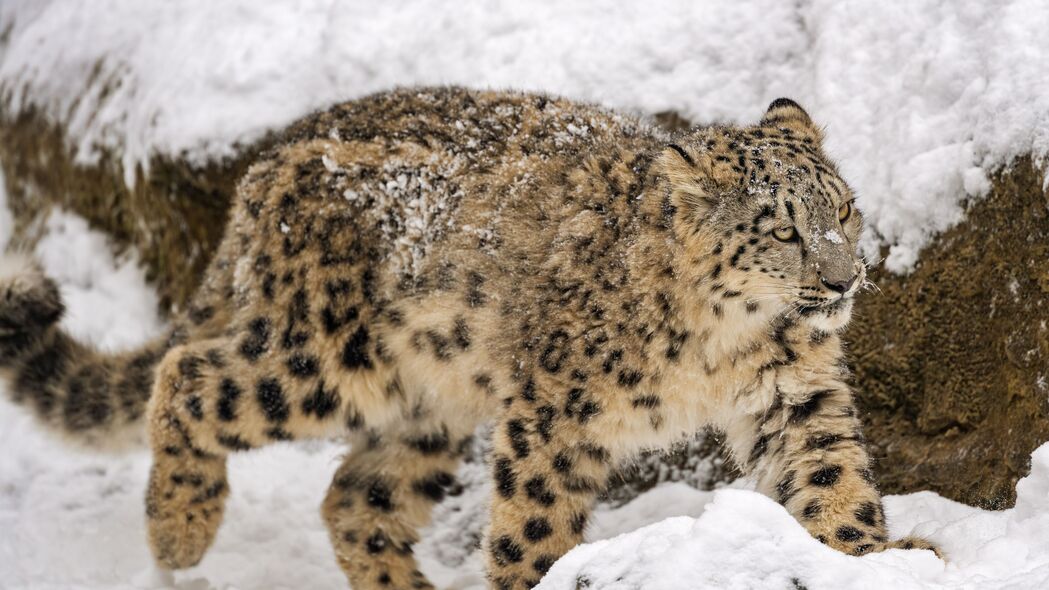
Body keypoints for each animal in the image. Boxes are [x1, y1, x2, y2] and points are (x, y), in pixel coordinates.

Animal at [0, 88, 939, 587]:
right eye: (781, 229)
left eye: (844, 208)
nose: (843, 280)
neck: (727, 346)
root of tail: (266, 167)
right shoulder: (556, 410)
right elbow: (534, 516)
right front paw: (535, 576)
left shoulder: (796, 392)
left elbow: (832, 477)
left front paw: (871, 558)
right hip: (326, 362)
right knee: (188, 377)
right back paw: (179, 531)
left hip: (429, 402)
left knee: (356, 497)